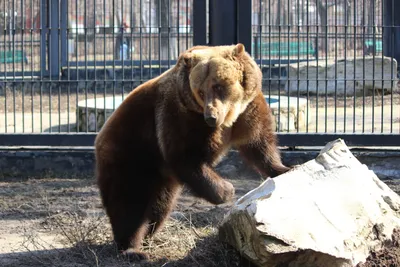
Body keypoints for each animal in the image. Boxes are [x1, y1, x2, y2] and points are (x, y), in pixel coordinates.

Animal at [95, 43, 292, 262]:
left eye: (218, 86)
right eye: (200, 91)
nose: (211, 116)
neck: (229, 116)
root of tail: (100, 137)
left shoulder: (248, 109)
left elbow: (259, 143)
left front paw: (284, 168)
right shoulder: (181, 115)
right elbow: (186, 158)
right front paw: (227, 191)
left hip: (159, 177)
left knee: (159, 206)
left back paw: (148, 237)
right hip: (130, 155)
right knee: (130, 204)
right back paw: (132, 249)